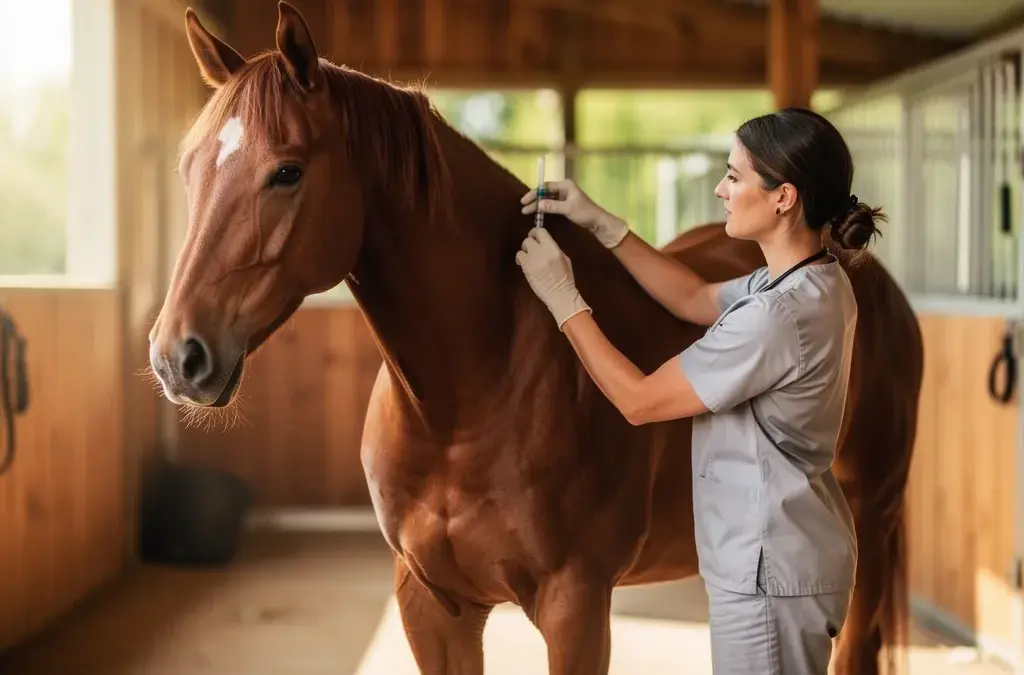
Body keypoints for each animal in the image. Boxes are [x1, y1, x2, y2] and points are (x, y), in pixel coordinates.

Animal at [149, 3, 923, 673]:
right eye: (187, 168)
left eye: (286, 171)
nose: (177, 356)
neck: (466, 403)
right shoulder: (432, 603)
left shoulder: (574, 605)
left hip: (871, 519)